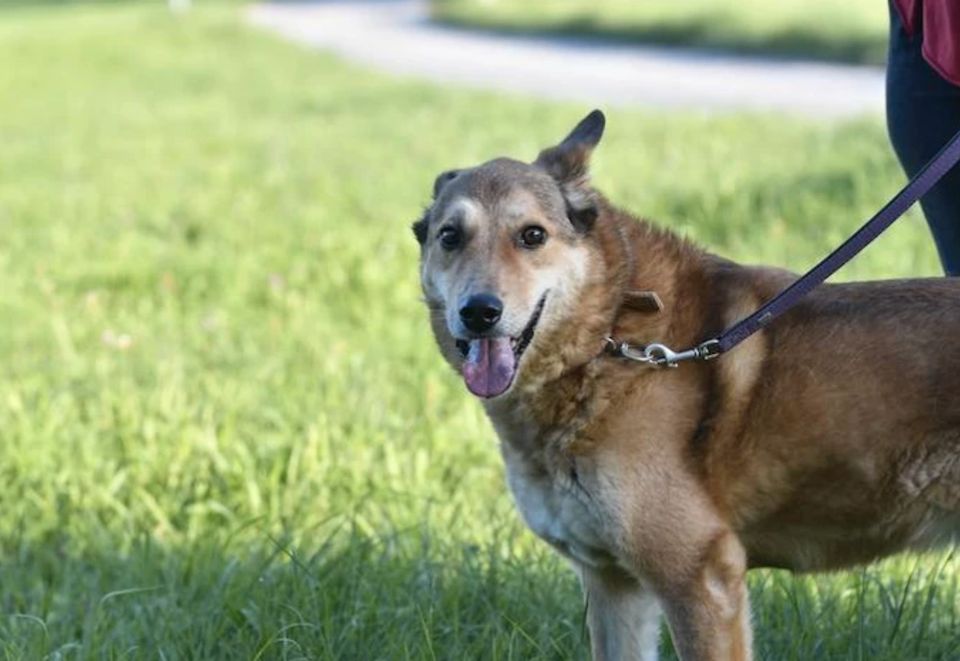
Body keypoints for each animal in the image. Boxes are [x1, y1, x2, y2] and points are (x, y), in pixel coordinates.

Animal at [410, 111, 960, 656]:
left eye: (531, 236)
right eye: (450, 236)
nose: (479, 312)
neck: (608, 334)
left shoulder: (700, 578)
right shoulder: (613, 584)